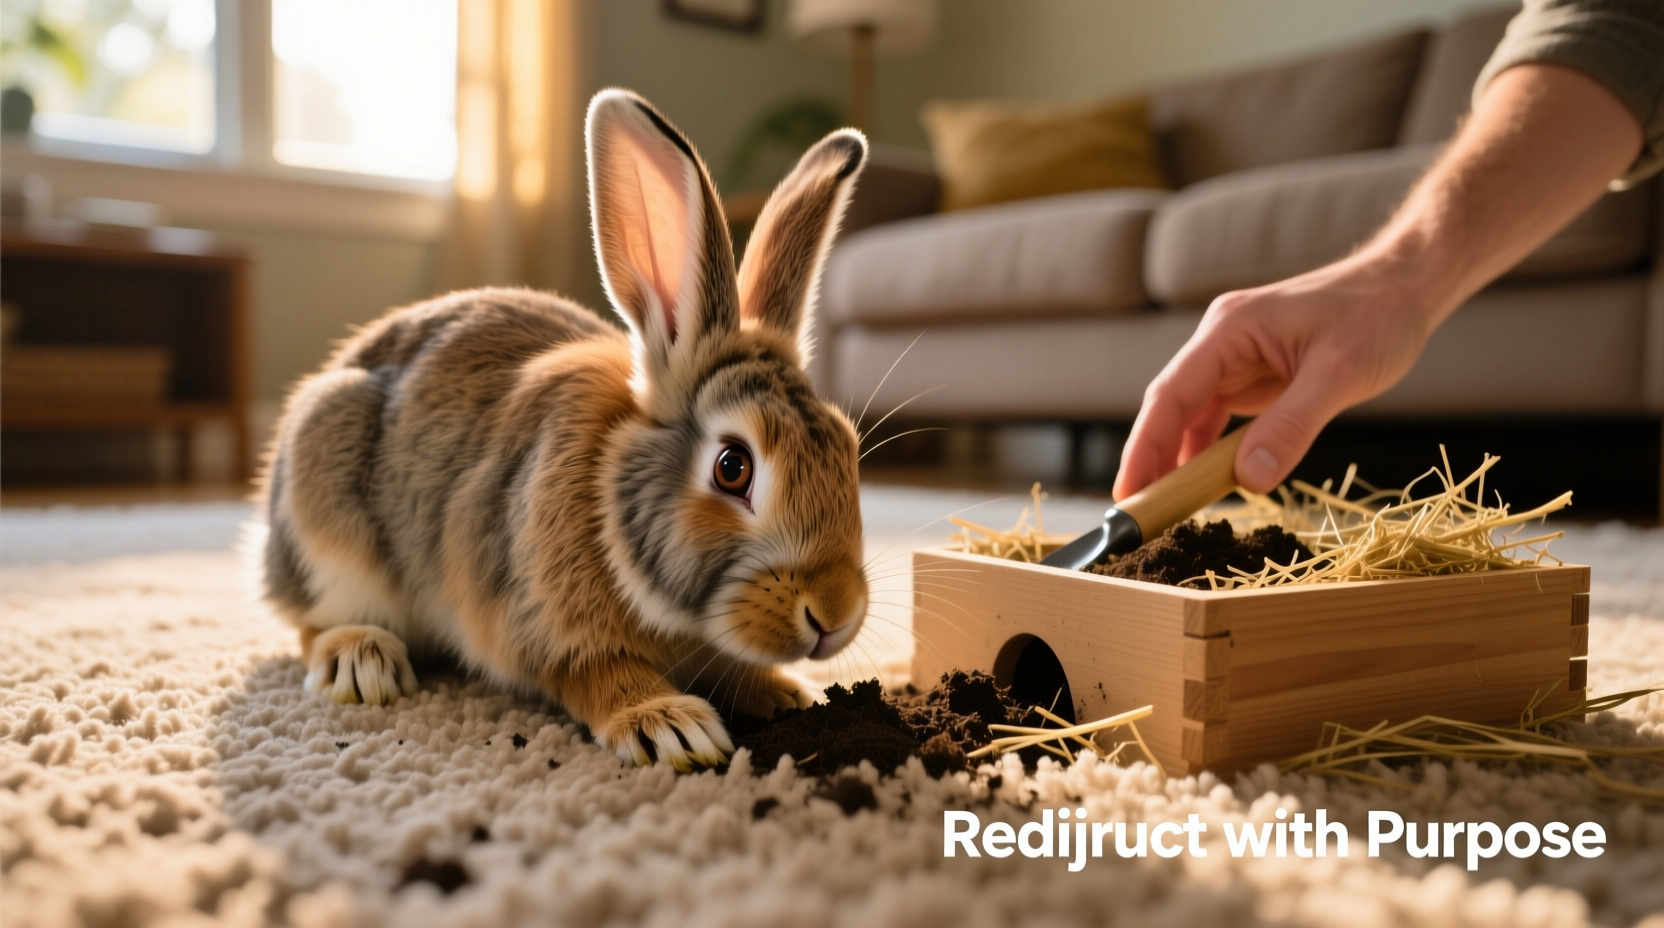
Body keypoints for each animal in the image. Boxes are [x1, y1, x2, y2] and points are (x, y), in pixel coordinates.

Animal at [255, 88, 871, 770]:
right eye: (732, 467)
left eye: (849, 450)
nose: (836, 613)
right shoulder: (543, 625)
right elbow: (598, 674)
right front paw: (671, 727)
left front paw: (787, 694)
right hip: (327, 512)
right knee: (311, 619)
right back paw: (361, 659)